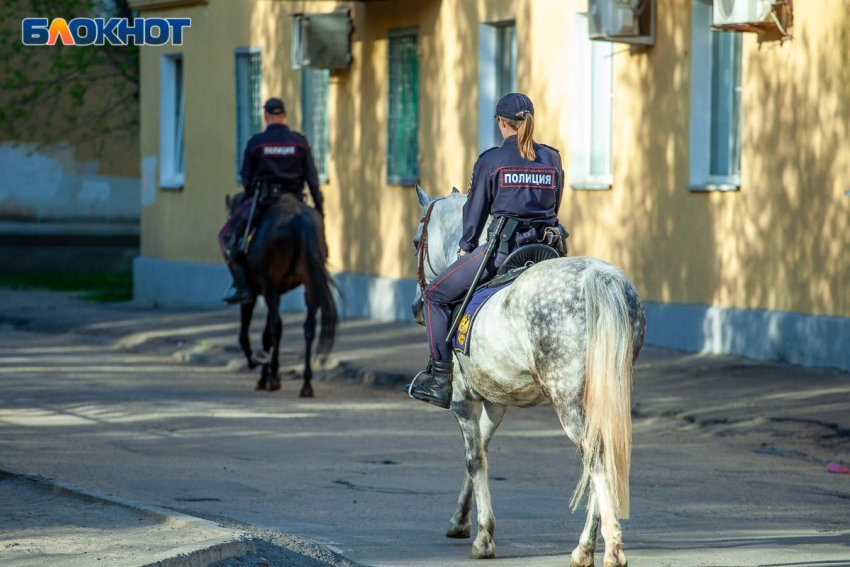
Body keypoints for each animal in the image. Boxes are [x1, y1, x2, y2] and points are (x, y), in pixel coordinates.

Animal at [235, 195, 338, 400]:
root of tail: (300, 220)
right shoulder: (276, 293)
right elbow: (266, 334)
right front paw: (264, 375)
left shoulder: (258, 289)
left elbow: (250, 332)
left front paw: (259, 367)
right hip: (310, 284)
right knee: (309, 327)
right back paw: (306, 384)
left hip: (268, 283)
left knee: (276, 325)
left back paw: (274, 378)